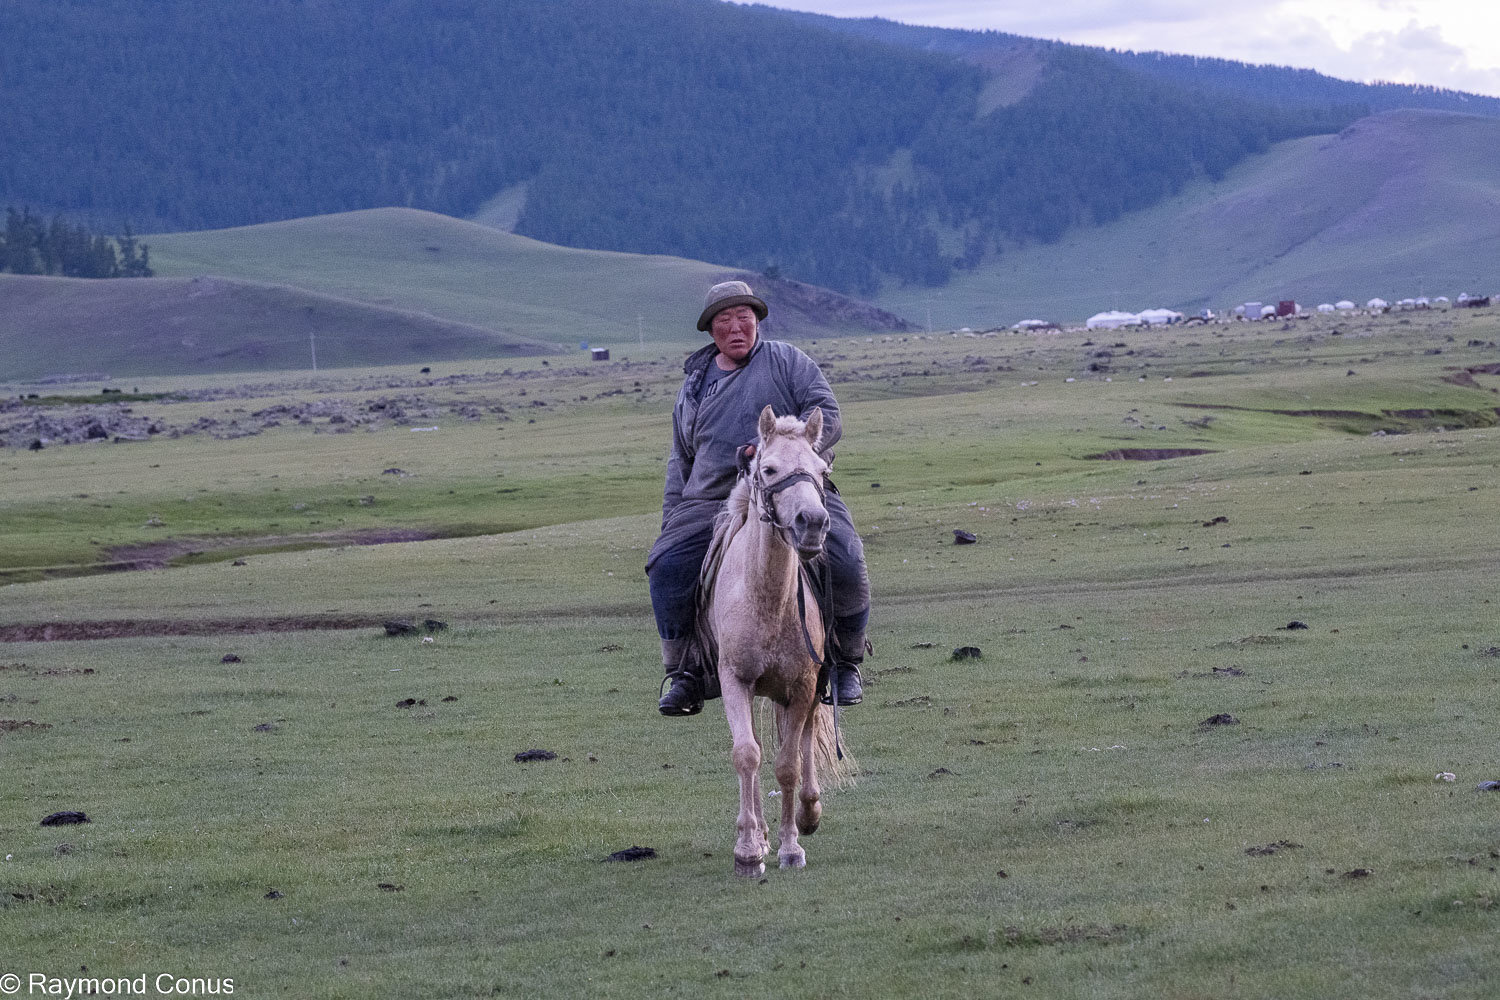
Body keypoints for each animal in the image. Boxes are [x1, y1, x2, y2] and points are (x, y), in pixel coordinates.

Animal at [696, 404, 854, 877]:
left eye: (822, 470)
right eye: (768, 469)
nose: (813, 524)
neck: (766, 600)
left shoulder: (802, 685)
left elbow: (787, 765)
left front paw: (790, 846)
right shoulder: (735, 681)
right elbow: (747, 754)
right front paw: (749, 849)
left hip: (809, 686)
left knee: (803, 741)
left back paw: (808, 812)